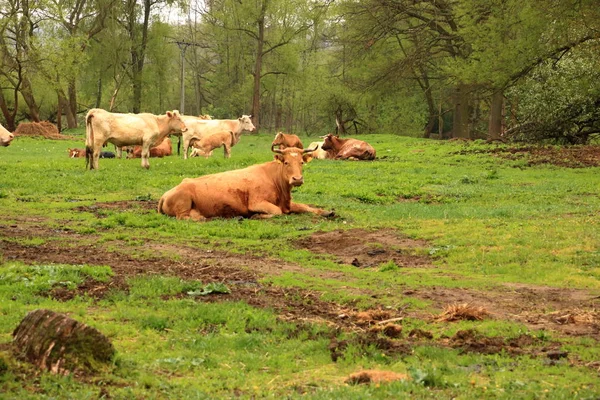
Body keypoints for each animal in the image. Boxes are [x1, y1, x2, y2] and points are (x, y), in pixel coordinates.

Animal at [157, 145, 332, 220]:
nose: (297, 179)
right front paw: (257, 215)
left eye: (301, 162)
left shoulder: (287, 204)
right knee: (183, 217)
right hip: (184, 202)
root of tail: (166, 194)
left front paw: (326, 212)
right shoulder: (257, 202)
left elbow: (305, 207)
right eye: (286, 162)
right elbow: (277, 212)